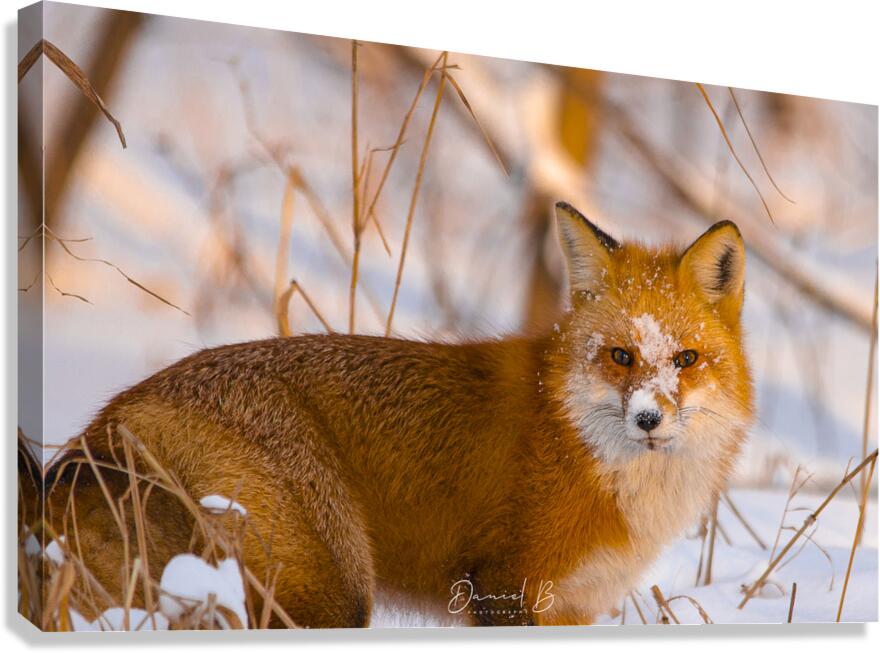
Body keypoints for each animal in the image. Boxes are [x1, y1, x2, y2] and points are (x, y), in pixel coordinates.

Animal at [20, 201, 753, 628]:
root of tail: (112, 416)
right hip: (333, 587)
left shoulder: (572, 608)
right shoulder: (505, 588)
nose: (649, 420)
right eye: (622, 356)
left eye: (686, 359)